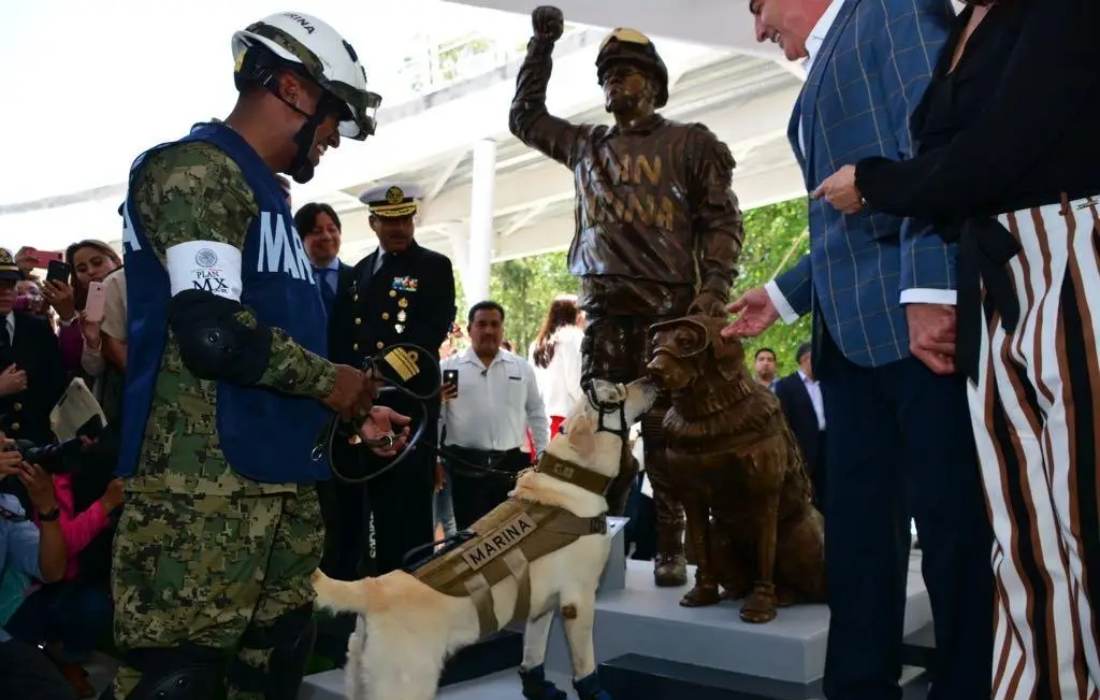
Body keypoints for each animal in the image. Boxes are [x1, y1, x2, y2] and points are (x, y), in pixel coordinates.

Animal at [312, 376, 651, 700]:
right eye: (616, 394)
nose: (650, 380)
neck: (573, 476)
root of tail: (373, 587)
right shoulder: (578, 600)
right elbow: (586, 665)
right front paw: (595, 692)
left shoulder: (541, 606)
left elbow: (533, 654)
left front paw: (539, 689)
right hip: (406, 684)